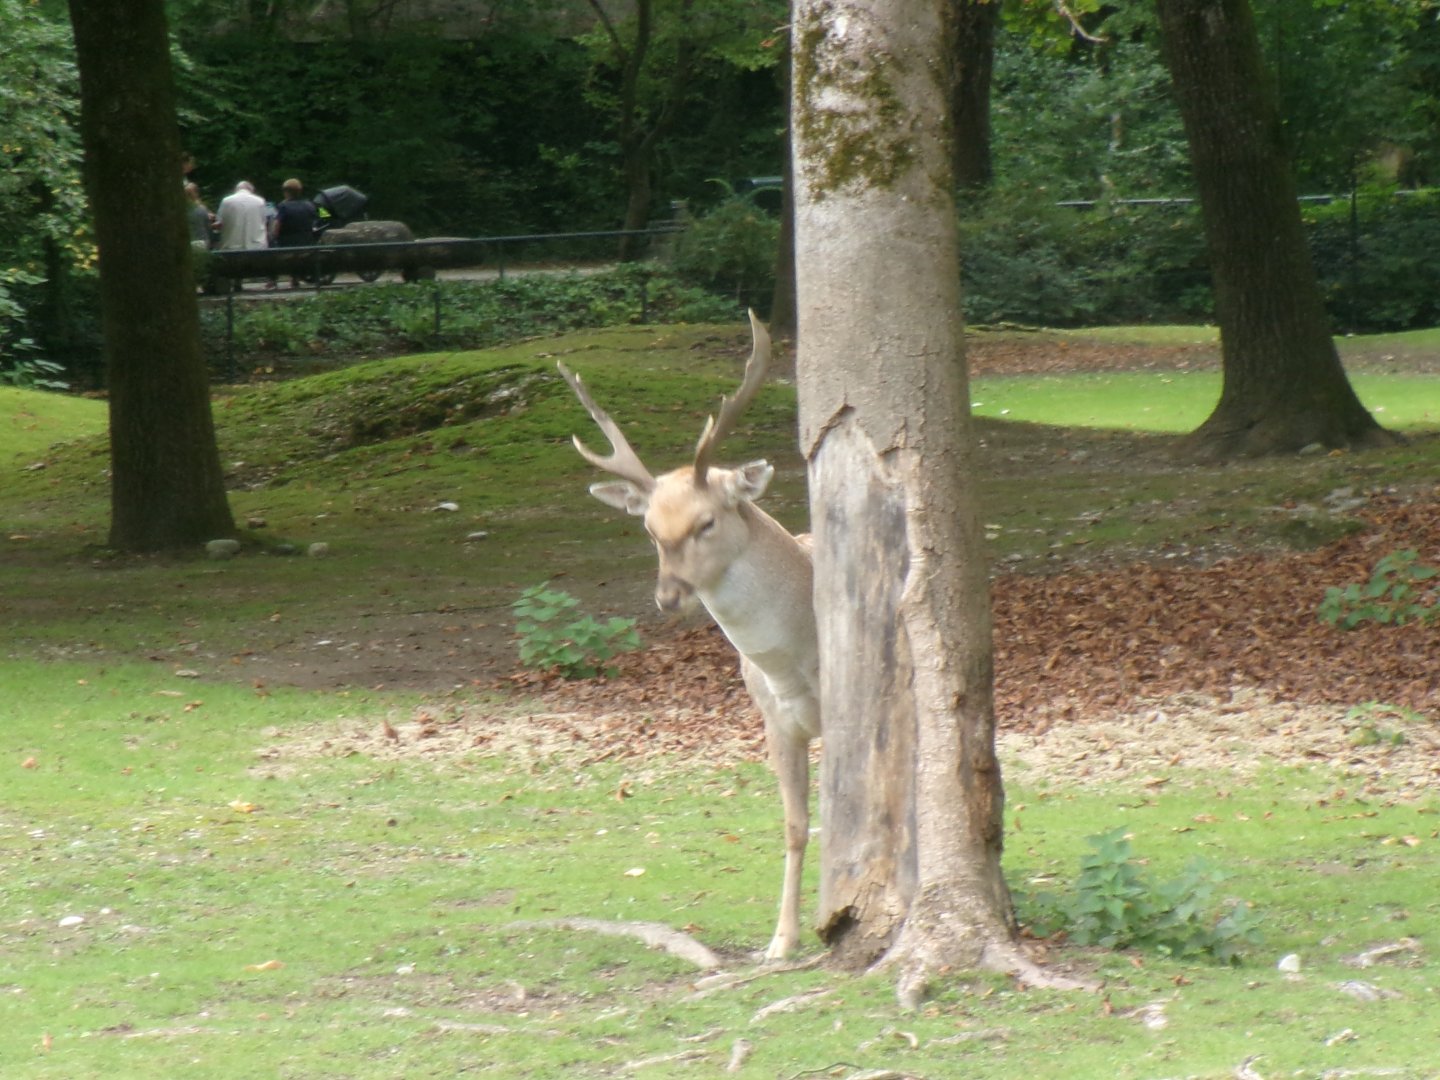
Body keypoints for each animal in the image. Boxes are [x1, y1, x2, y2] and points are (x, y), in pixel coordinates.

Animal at [557, 311, 819, 961]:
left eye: (707, 521)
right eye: (650, 529)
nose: (668, 595)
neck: (793, 661)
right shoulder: (774, 719)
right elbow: (795, 824)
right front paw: (781, 941)